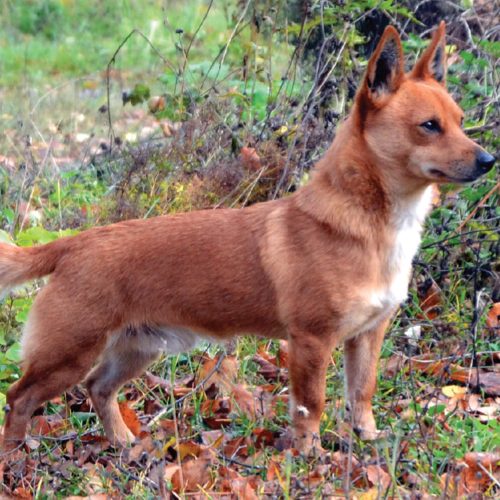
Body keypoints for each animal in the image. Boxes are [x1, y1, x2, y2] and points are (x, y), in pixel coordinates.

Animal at [0, 23, 494, 456]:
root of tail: (72, 244)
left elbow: (362, 394)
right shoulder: (312, 341)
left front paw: (368, 442)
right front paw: (312, 457)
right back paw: (16, 458)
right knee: (19, 398)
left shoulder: (368, 336)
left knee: (98, 388)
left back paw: (124, 444)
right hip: (67, 354)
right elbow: (311, 405)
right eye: (428, 126)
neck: (371, 227)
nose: (489, 160)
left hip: (137, 349)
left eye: (460, 121)